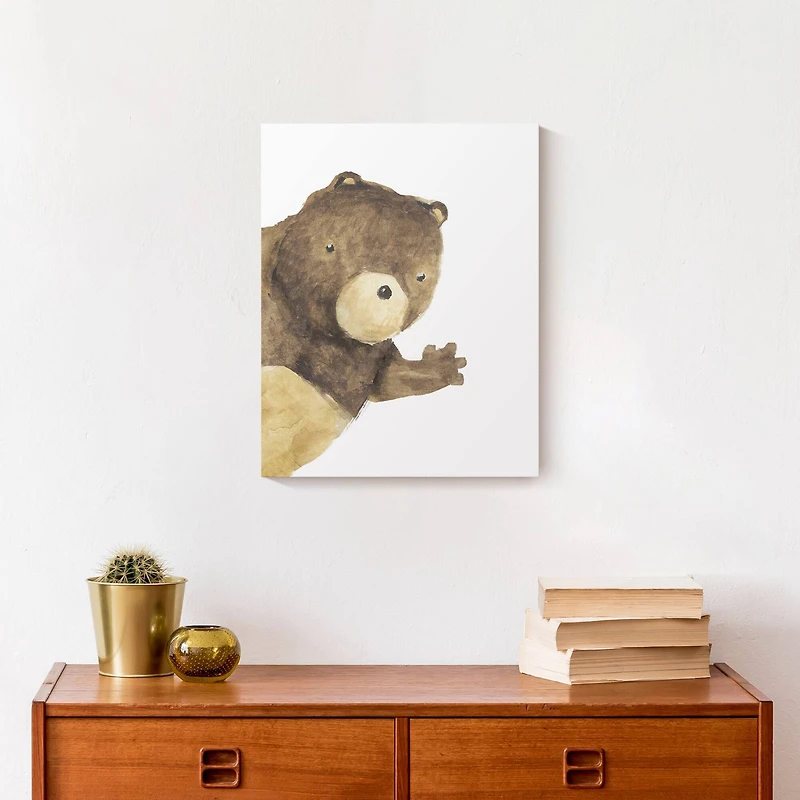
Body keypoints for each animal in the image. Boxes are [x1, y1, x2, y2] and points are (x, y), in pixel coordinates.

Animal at [261, 171, 466, 476]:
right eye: (330, 247)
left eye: (421, 277)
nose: (383, 291)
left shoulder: (373, 356)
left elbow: (391, 379)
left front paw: (446, 363)